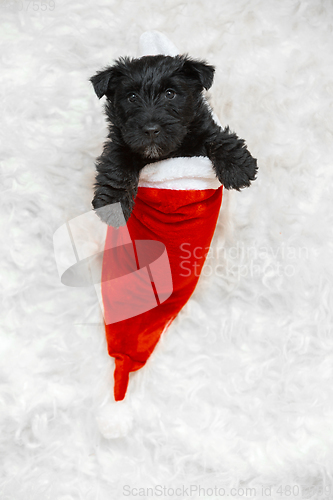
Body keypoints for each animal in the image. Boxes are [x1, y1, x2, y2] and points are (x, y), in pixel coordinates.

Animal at [89, 54, 256, 225]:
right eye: (132, 97)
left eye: (170, 94)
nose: (151, 130)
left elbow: (218, 139)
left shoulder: (204, 129)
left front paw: (237, 169)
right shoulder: (120, 143)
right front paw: (113, 204)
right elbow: (117, 167)